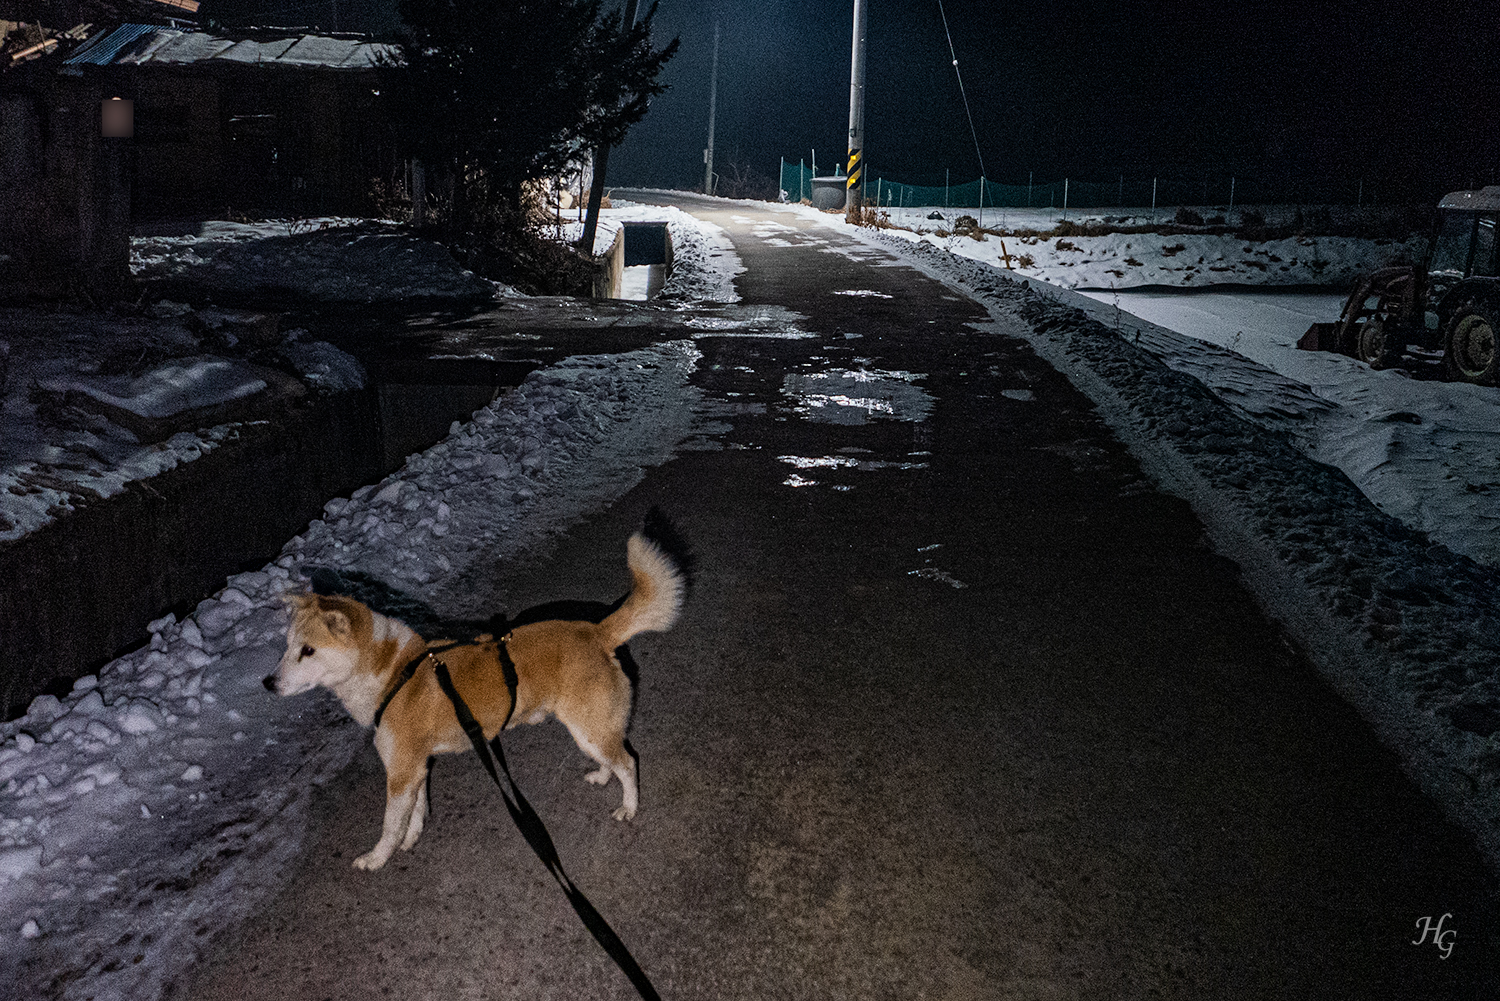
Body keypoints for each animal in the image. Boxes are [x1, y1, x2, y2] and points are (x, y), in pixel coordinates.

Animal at [265, 522, 690, 870]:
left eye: (307, 651)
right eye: (287, 647)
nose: (267, 683)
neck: (393, 673)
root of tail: (596, 631)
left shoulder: (400, 772)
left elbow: (389, 824)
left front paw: (377, 858)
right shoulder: (416, 768)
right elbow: (415, 812)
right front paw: (411, 839)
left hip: (591, 726)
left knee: (628, 763)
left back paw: (629, 807)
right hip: (587, 728)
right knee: (612, 758)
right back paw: (602, 776)